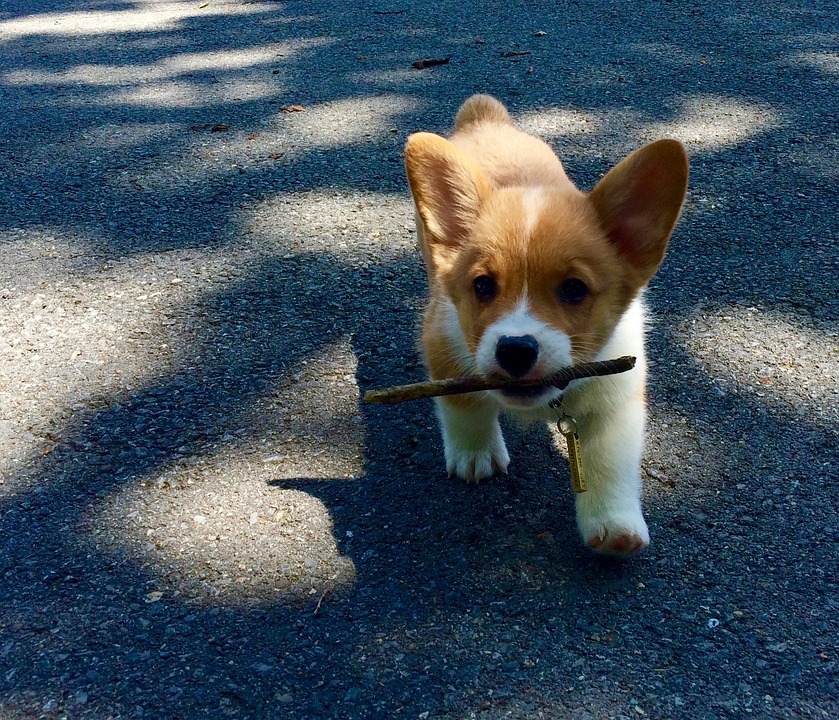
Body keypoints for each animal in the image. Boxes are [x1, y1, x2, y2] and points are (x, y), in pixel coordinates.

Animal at [406, 95, 688, 556]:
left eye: (574, 289)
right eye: (483, 285)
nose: (515, 349)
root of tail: (484, 116)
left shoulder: (618, 393)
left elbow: (609, 460)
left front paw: (614, 524)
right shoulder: (442, 343)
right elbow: (463, 407)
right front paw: (475, 455)